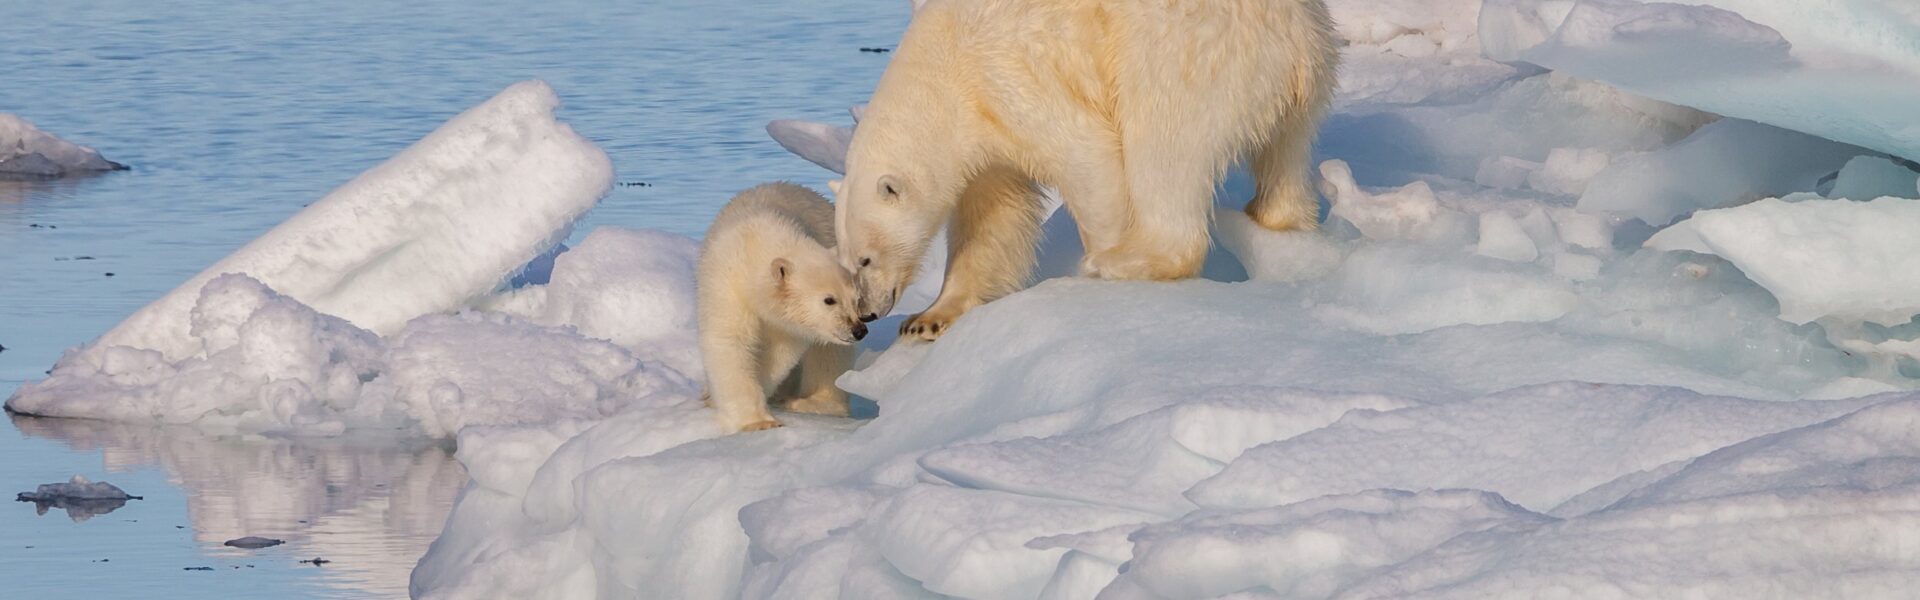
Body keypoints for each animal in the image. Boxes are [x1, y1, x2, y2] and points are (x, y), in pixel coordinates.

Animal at [833, 0, 1344, 340]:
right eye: (846, 261)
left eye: (865, 259)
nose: (869, 313)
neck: (945, 68)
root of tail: (1294, 36)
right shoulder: (986, 131)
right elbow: (991, 219)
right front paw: (929, 319)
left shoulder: (1011, 78)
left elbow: (1088, 156)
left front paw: (1100, 257)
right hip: (1306, 74)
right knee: (1287, 152)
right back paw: (1277, 217)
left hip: (1185, 55)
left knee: (1163, 146)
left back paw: (1123, 261)